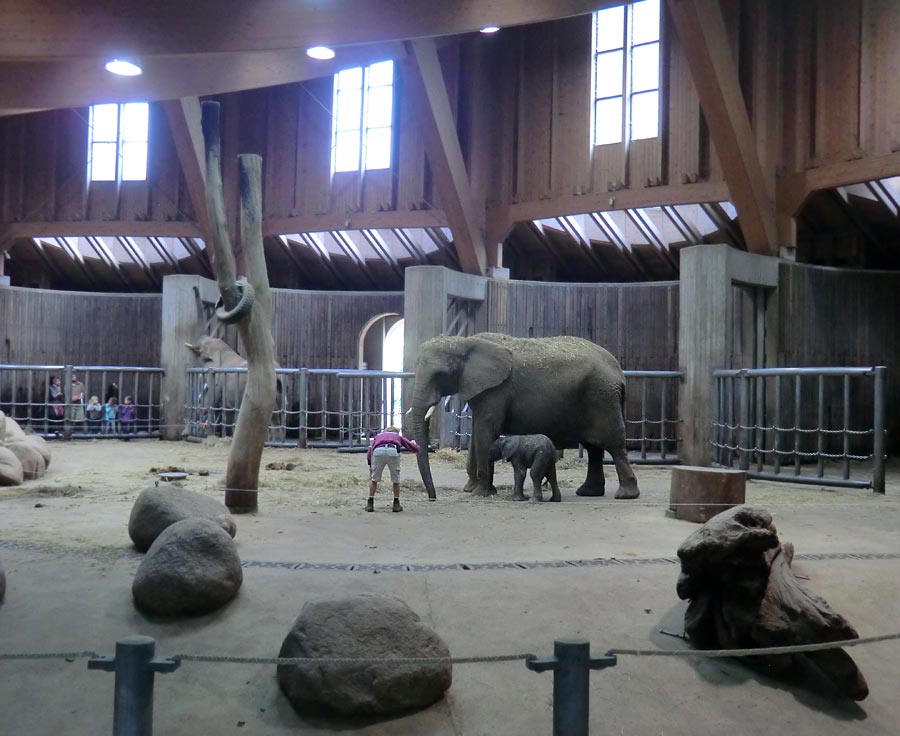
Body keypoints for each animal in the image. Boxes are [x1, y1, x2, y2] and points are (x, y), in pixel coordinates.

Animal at [410, 334, 640, 500]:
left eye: (439, 375)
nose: (433, 498)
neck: (464, 342)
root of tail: (620, 373)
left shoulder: (496, 391)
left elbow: (486, 431)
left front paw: (480, 493)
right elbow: (477, 432)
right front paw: (472, 489)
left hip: (602, 397)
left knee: (613, 444)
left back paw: (625, 495)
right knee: (594, 448)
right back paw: (588, 492)